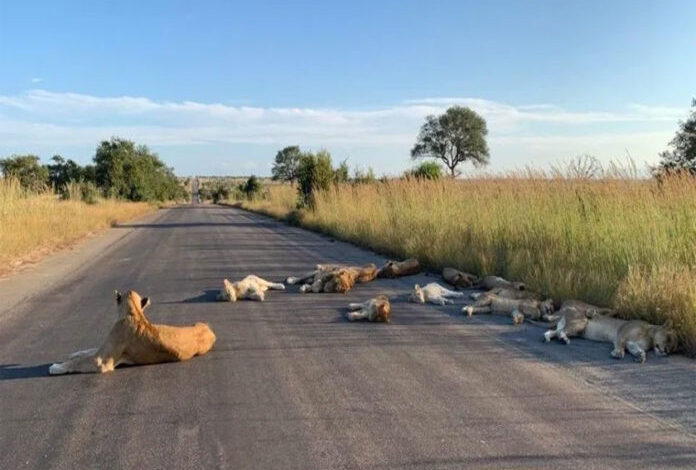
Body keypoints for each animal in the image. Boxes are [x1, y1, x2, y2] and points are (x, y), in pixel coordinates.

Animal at [49, 290, 216, 374]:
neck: (134, 313)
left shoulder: (103, 361)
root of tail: (209, 329)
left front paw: (56, 367)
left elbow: (78, 362)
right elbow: (88, 351)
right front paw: (75, 353)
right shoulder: (103, 350)